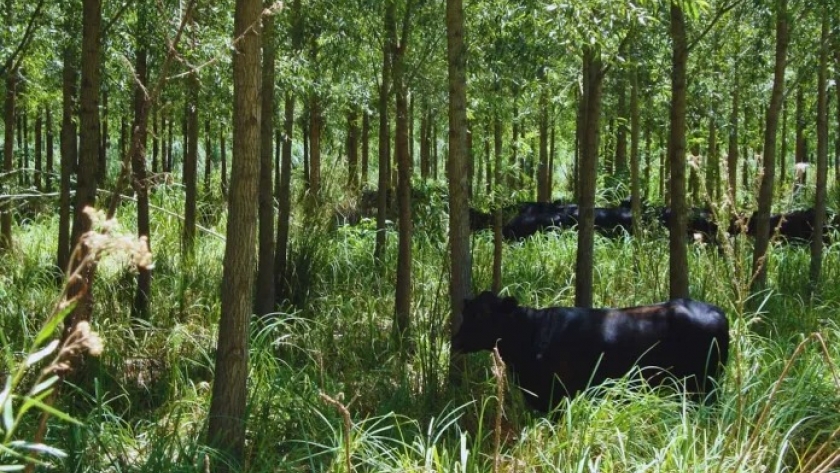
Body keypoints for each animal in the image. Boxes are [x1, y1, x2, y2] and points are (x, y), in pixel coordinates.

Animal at [452, 290, 728, 412]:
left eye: (482, 314)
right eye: (467, 312)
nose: (456, 340)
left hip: (704, 386)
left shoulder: (555, 396)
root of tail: (717, 311)